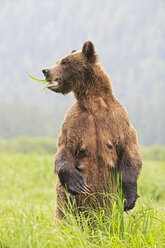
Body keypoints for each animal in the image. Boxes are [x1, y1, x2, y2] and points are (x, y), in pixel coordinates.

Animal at [42, 40, 142, 219]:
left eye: (64, 62)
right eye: (58, 60)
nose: (46, 70)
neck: (93, 103)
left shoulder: (118, 120)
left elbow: (130, 151)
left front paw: (129, 199)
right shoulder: (74, 122)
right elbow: (64, 149)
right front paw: (77, 183)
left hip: (108, 202)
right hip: (65, 202)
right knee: (64, 216)